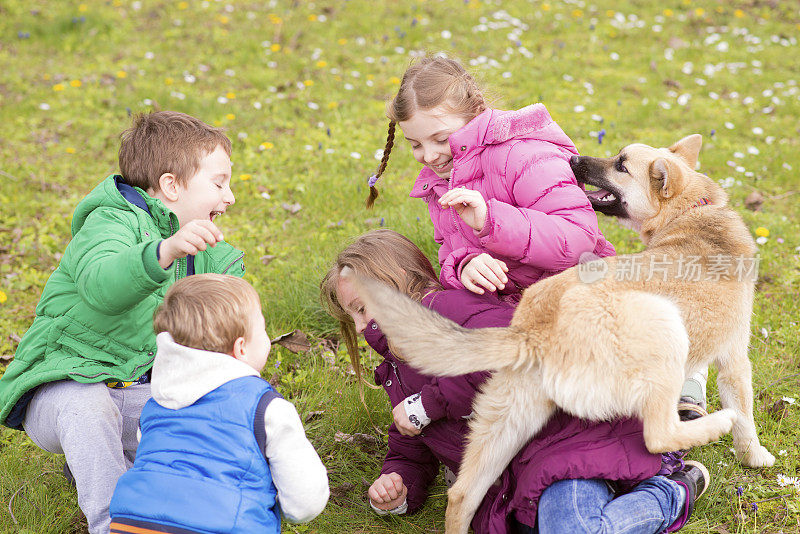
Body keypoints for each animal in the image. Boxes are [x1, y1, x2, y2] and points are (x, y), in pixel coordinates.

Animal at [350, 136, 776, 532]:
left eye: (621, 166)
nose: (572, 160)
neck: (690, 210)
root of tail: (535, 332)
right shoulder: (735, 360)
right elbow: (746, 418)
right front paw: (755, 456)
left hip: (506, 421)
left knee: (462, 495)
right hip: (664, 329)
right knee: (660, 435)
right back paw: (713, 426)